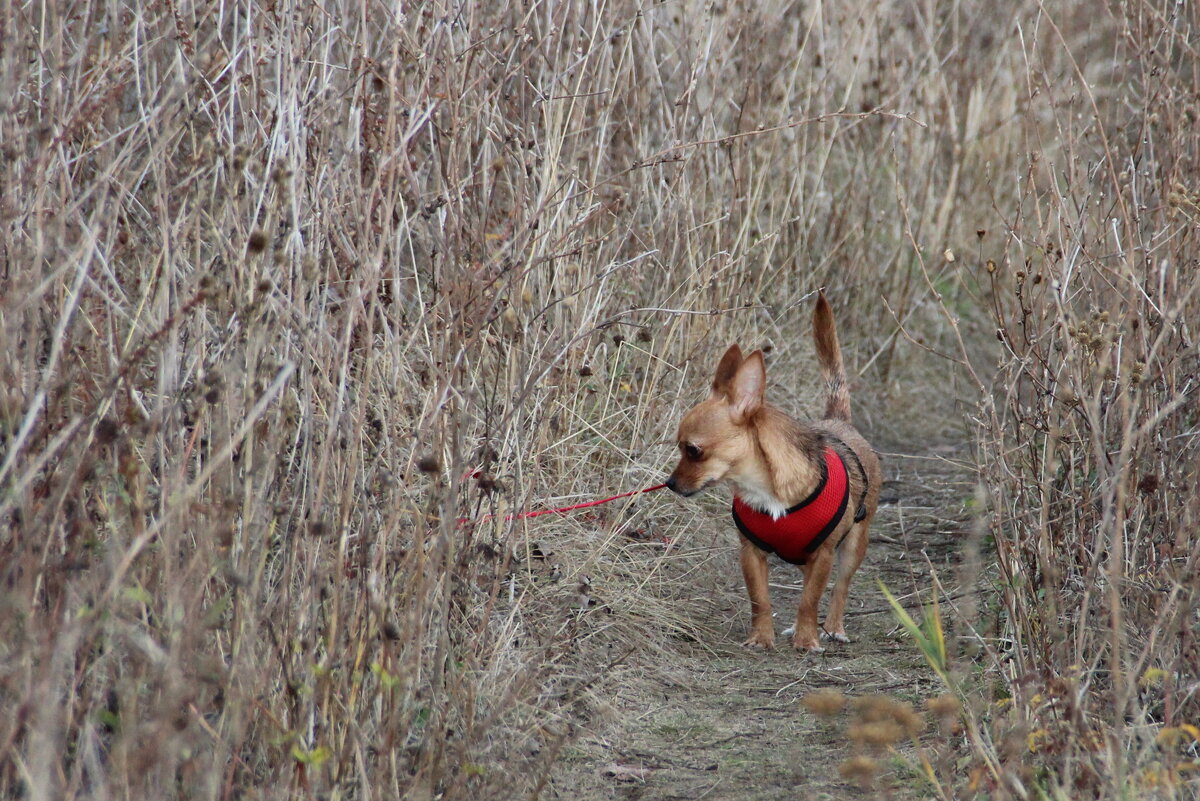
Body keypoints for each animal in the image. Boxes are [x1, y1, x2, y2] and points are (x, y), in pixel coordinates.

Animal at [667, 292, 883, 652]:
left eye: (693, 450)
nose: (669, 484)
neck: (764, 487)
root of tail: (837, 420)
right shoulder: (751, 553)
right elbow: (761, 599)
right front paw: (761, 637)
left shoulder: (824, 555)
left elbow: (810, 599)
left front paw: (807, 640)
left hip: (854, 545)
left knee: (839, 587)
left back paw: (832, 627)